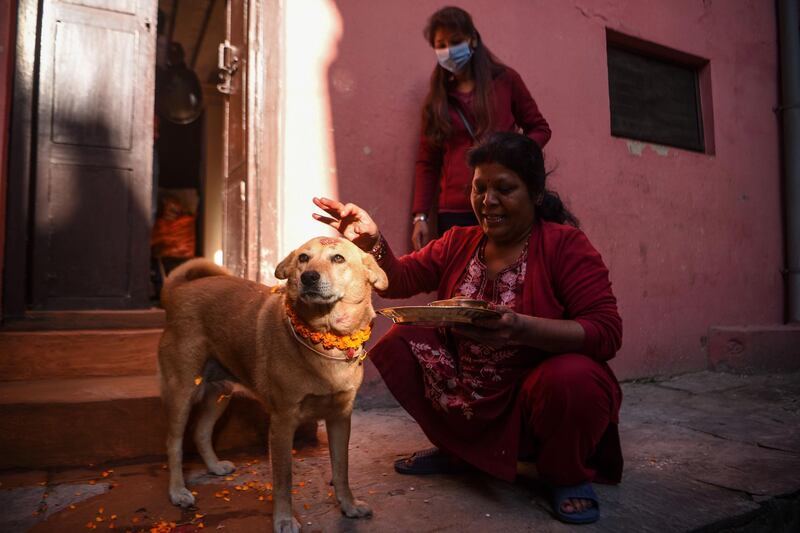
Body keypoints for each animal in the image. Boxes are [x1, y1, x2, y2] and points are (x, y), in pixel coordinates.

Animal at [157, 237, 388, 532]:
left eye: (338, 258)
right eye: (303, 258)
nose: (308, 277)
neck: (325, 339)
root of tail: (178, 291)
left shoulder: (340, 418)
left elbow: (341, 468)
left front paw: (348, 506)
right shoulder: (282, 423)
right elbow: (283, 479)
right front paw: (284, 519)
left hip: (220, 394)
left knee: (201, 431)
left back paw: (214, 466)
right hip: (182, 392)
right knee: (173, 442)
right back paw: (177, 491)